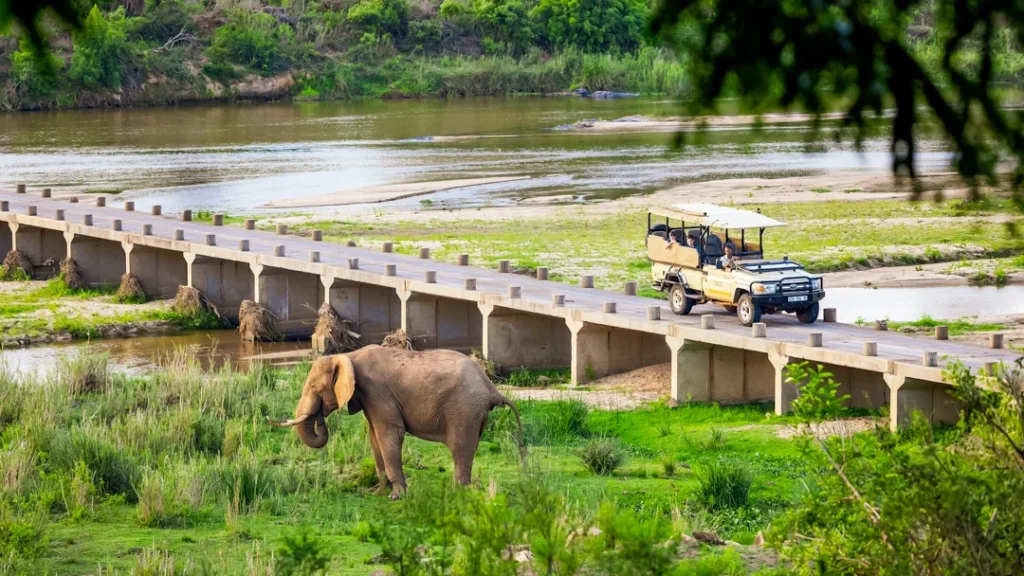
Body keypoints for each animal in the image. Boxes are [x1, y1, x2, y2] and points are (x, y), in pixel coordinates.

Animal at [269, 345, 525, 499]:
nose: (320, 415)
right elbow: (374, 436)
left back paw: (457, 493)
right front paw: (377, 492)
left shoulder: (377, 391)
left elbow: (389, 435)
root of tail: (491, 387)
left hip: (464, 410)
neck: (348, 356)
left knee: (460, 448)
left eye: (314, 387)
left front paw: (396, 497)